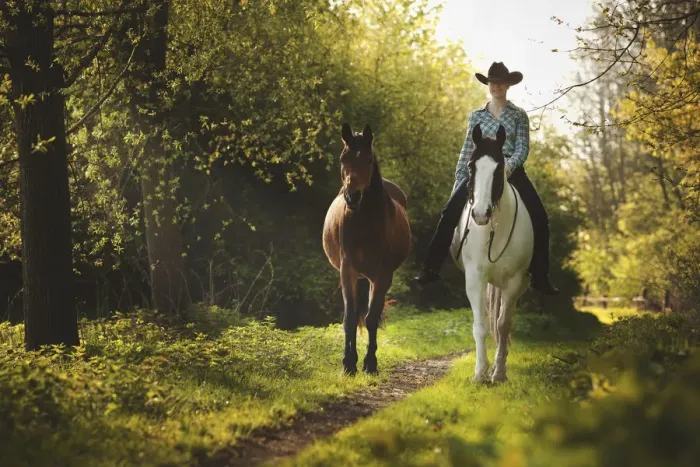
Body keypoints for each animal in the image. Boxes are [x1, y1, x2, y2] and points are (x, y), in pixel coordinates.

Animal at [322, 123, 411, 375]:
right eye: (343, 159)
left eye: (369, 160)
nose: (352, 197)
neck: (363, 222)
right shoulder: (348, 270)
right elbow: (350, 318)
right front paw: (348, 364)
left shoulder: (382, 275)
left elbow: (371, 318)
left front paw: (370, 363)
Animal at [449, 123, 534, 383]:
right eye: (470, 166)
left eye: (498, 168)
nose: (480, 214)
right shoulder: (475, 278)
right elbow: (481, 325)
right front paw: (480, 372)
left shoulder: (514, 281)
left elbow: (503, 325)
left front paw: (499, 373)